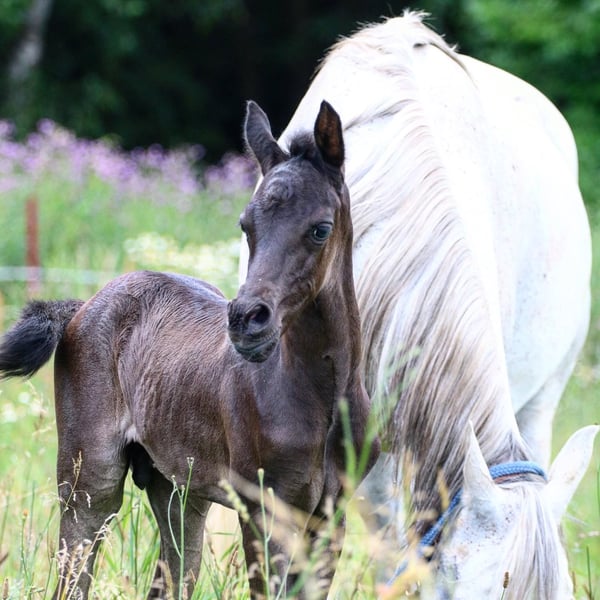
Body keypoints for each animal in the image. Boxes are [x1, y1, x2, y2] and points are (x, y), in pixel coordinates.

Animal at [0, 101, 379, 599]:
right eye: (246, 225)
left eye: (320, 229)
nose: (246, 320)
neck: (322, 397)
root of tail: (83, 306)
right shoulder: (262, 510)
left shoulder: (329, 517)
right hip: (90, 481)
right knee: (73, 572)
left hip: (178, 490)